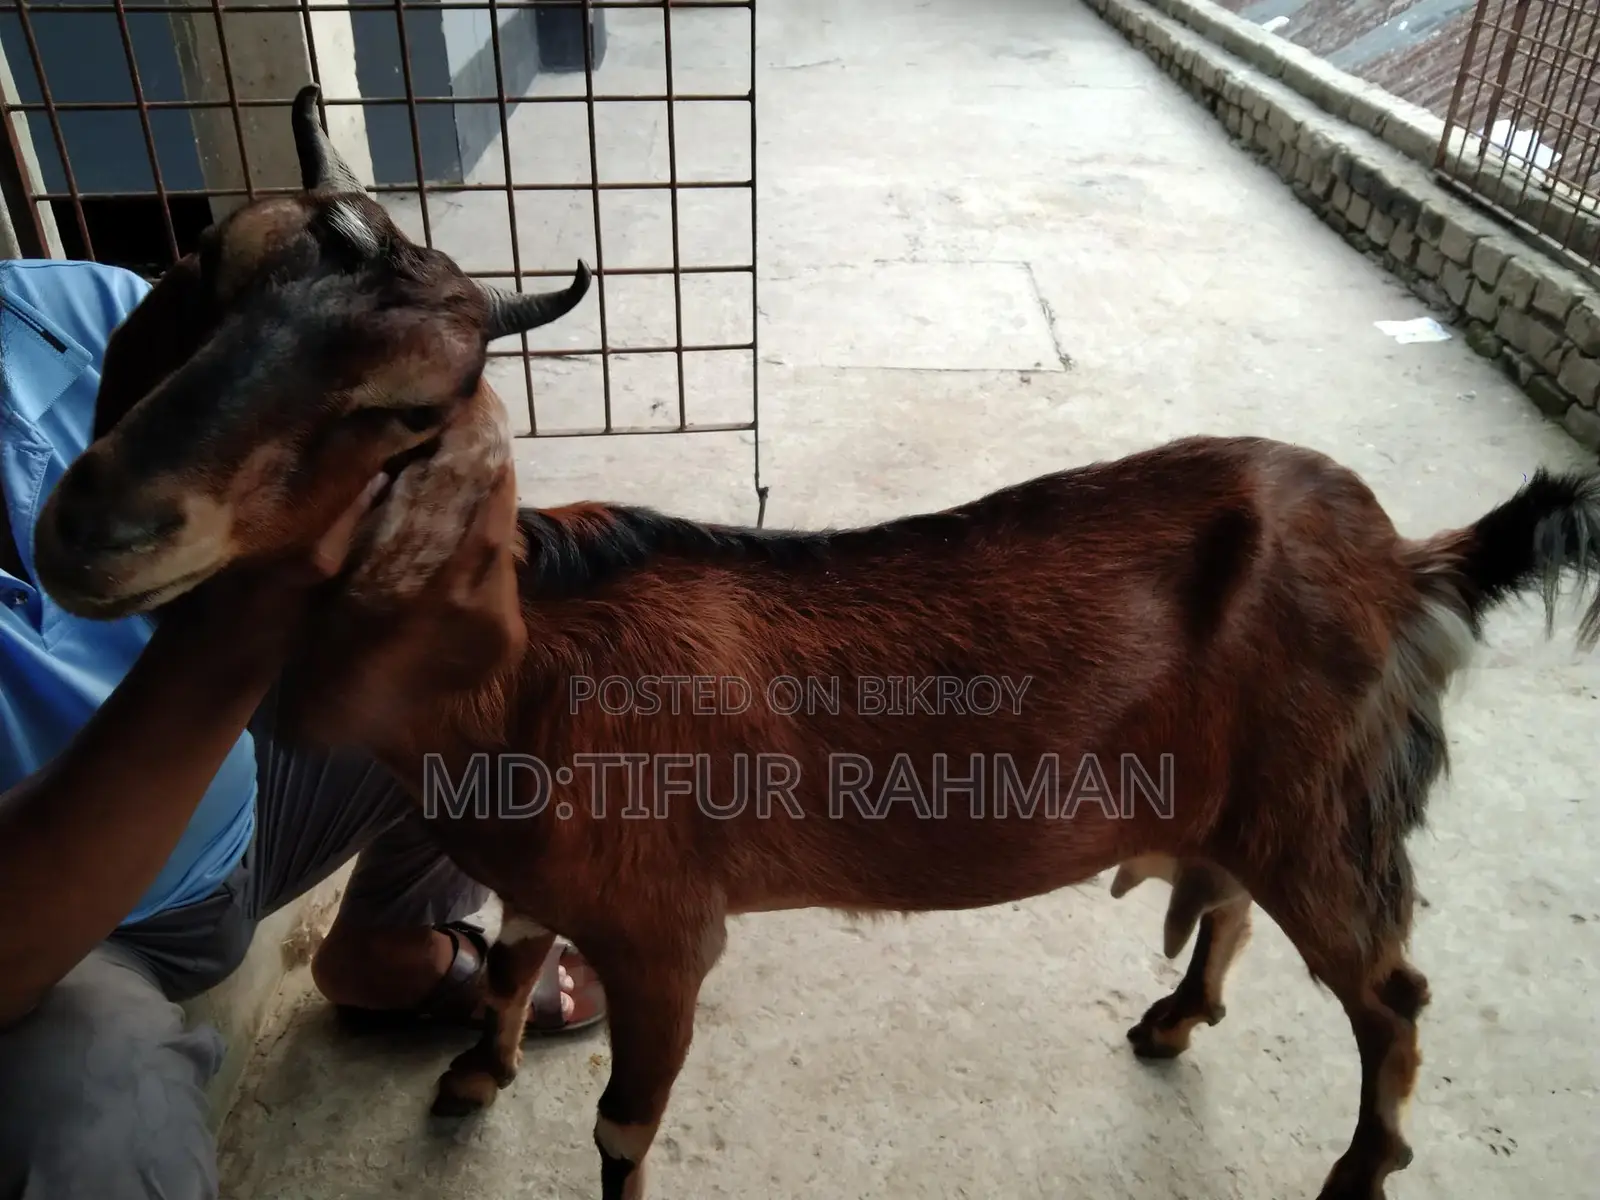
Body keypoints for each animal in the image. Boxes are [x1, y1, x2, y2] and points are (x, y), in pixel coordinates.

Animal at [30, 84, 1600, 1200]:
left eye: (411, 412)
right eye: (203, 268)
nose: (96, 523)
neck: (528, 671)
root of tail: (1409, 559)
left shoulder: (668, 932)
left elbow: (620, 1126)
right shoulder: (550, 884)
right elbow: (516, 948)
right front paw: (474, 1075)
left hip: (1328, 811)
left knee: (1392, 995)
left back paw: (1354, 1174)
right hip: (1265, 806)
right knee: (1230, 904)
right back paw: (1170, 1021)